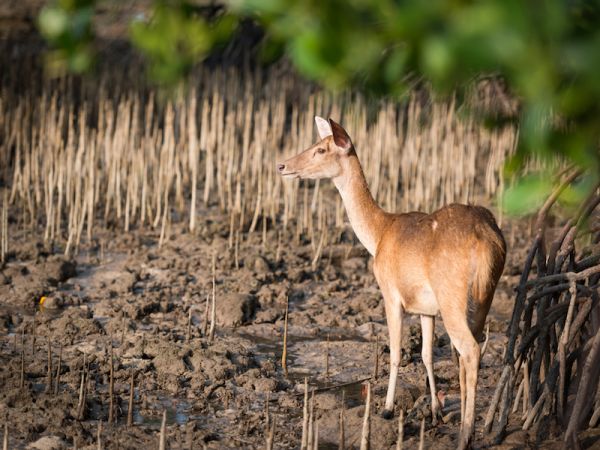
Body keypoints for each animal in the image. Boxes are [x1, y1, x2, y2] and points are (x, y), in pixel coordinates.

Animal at [276, 118, 506, 448]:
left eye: (320, 149)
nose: (281, 165)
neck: (378, 235)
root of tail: (488, 241)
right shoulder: (426, 307)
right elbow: (425, 354)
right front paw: (435, 411)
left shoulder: (390, 292)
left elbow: (396, 352)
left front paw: (386, 409)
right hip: (484, 296)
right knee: (469, 352)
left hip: (452, 295)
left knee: (470, 350)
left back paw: (465, 434)